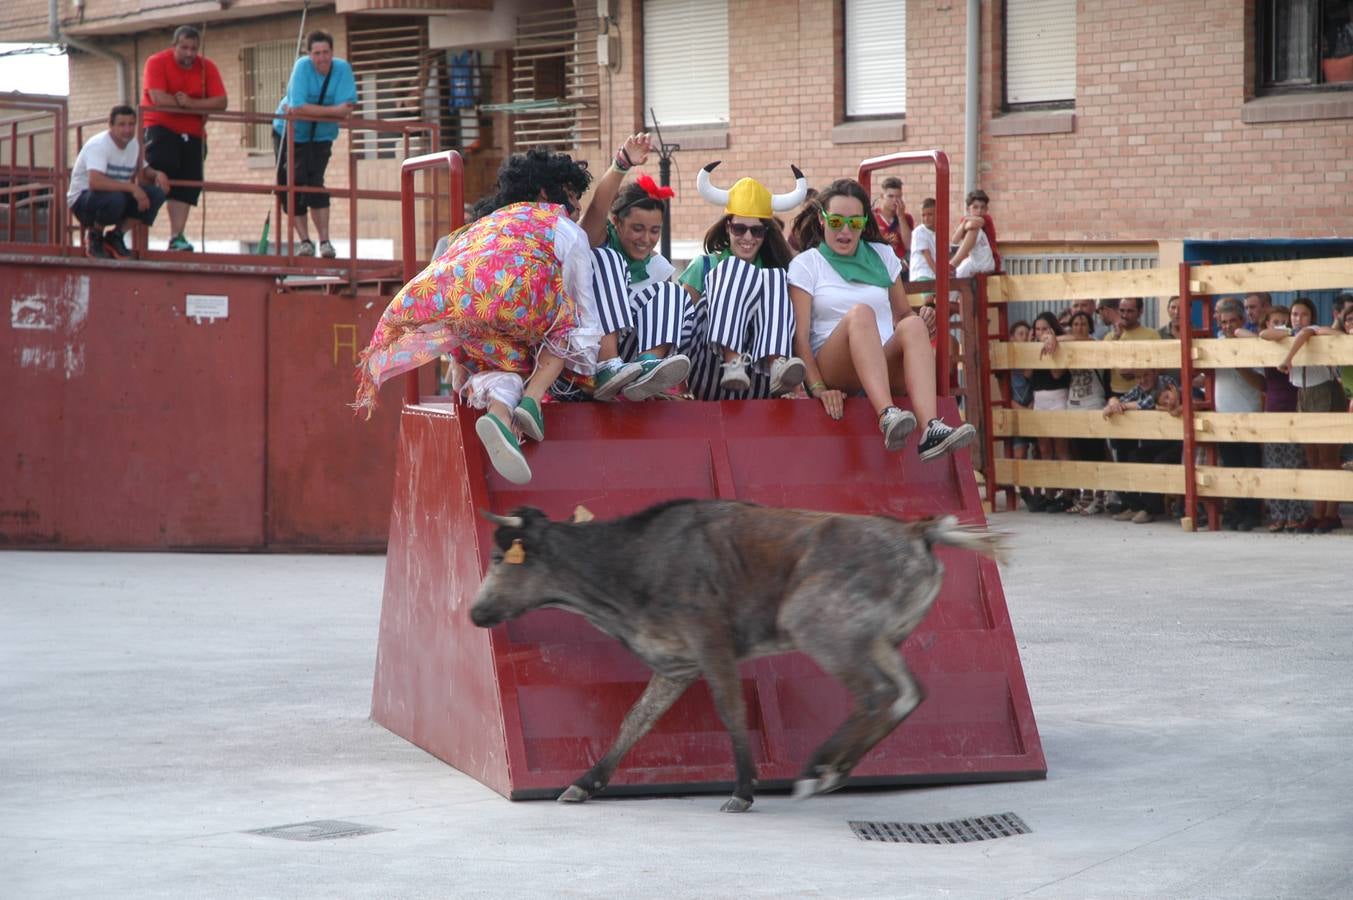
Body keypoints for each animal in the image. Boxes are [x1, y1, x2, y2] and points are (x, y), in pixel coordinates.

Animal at [468, 495, 1006, 812]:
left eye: (500, 557)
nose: (475, 612)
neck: (629, 563)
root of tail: (914, 531)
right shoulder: (677, 662)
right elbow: (636, 720)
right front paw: (585, 783)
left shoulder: (713, 645)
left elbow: (731, 711)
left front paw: (743, 790)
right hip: (879, 639)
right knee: (906, 695)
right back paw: (833, 768)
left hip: (822, 627)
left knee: (876, 695)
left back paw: (819, 770)